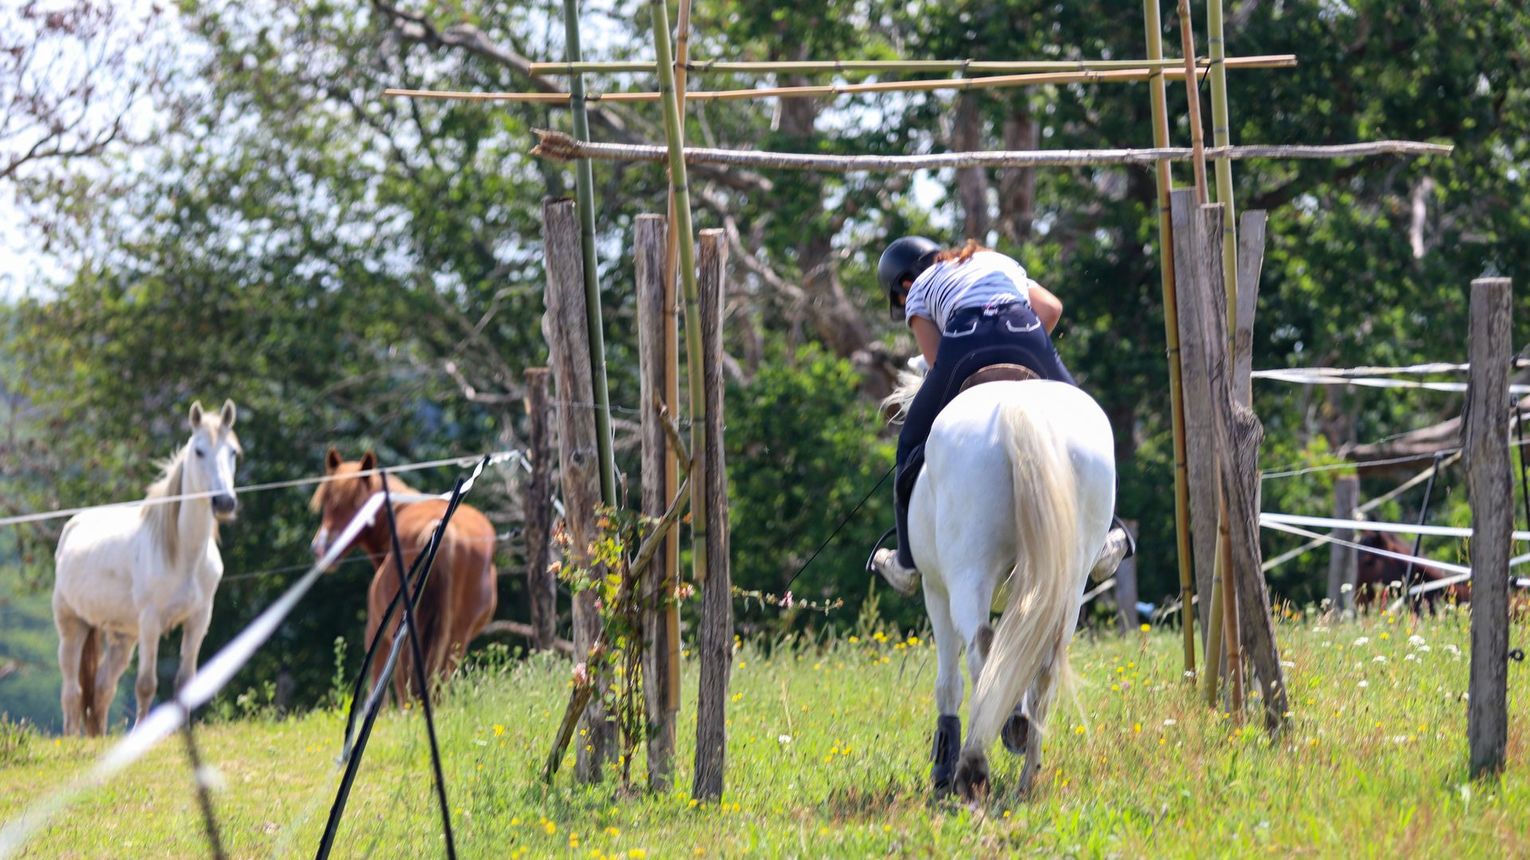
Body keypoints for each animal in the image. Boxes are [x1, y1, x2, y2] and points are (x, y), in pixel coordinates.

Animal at [53, 397, 241, 734]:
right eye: (199, 451)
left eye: (233, 452)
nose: (224, 502)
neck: (183, 555)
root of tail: (73, 524)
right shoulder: (151, 621)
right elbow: (146, 684)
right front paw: (142, 732)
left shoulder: (198, 621)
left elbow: (186, 681)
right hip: (72, 626)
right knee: (72, 691)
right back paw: (71, 738)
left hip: (122, 637)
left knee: (101, 688)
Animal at [887, 371, 1113, 801]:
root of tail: (1019, 407)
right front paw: (1015, 723)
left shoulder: (935, 592)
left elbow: (949, 684)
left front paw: (943, 768)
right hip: (1070, 581)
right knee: (1044, 665)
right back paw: (1027, 776)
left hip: (968, 575)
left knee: (982, 651)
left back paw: (972, 766)